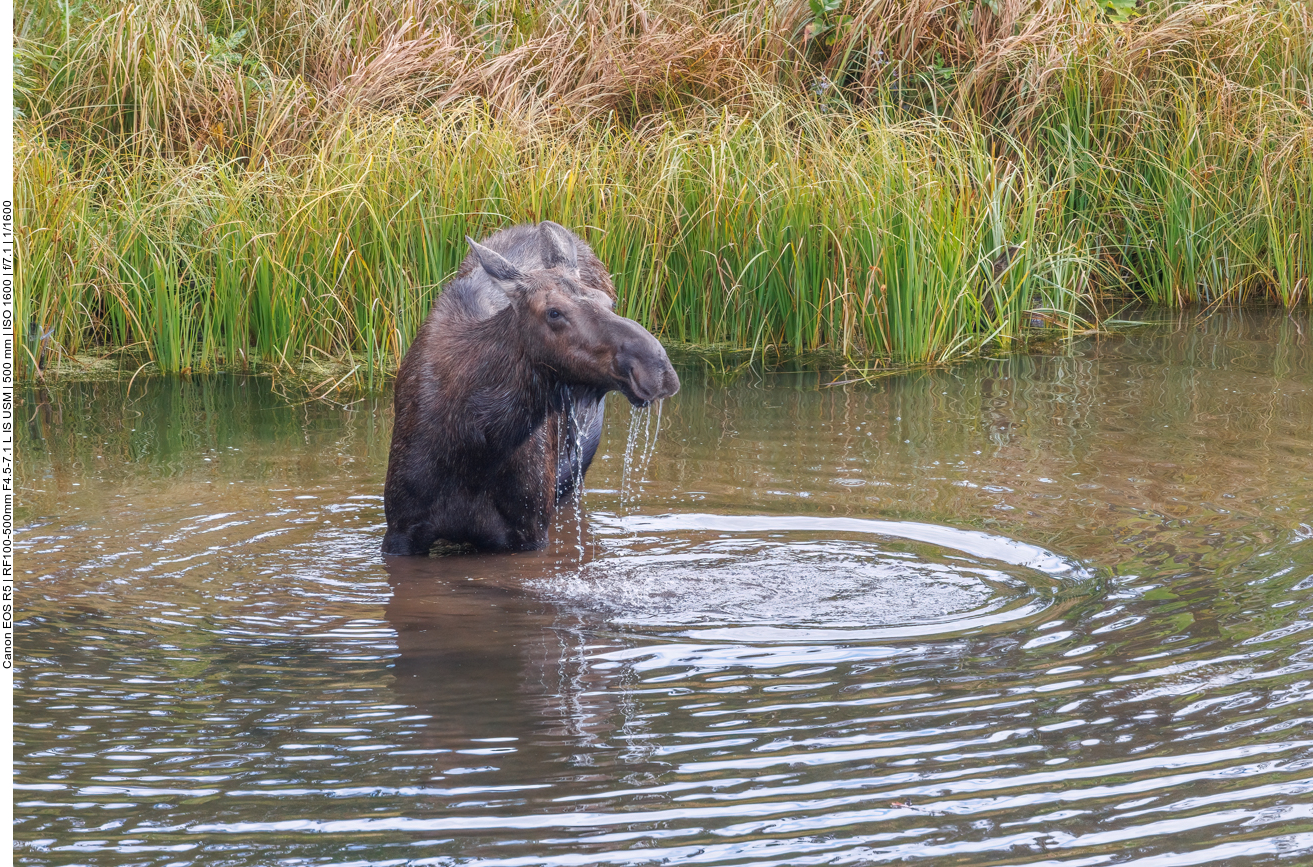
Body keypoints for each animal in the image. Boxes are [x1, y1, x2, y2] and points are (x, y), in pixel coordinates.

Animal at [380, 220, 677, 551]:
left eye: (609, 302)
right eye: (554, 312)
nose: (656, 367)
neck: (480, 445)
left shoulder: (530, 531)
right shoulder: (401, 530)